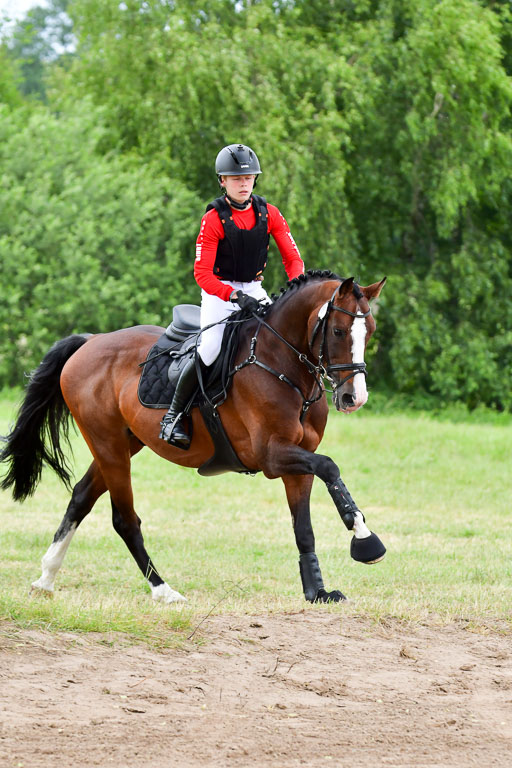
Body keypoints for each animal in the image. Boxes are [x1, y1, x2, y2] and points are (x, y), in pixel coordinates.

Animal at [0, 270, 386, 604]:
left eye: (370, 331)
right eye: (338, 331)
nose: (354, 398)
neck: (283, 366)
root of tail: (91, 341)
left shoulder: (298, 460)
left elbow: (304, 525)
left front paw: (317, 591)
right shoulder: (272, 456)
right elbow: (330, 467)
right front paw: (365, 539)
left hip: (122, 444)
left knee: (80, 497)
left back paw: (46, 578)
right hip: (108, 445)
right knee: (124, 519)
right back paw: (163, 591)